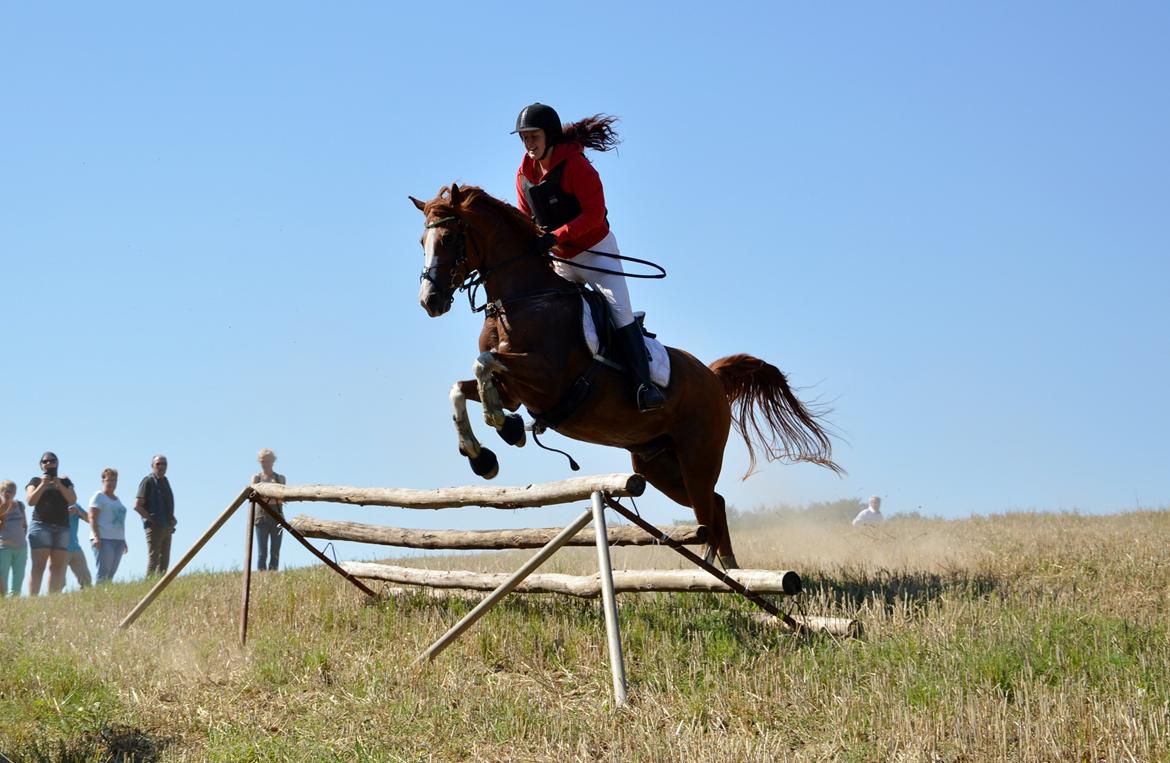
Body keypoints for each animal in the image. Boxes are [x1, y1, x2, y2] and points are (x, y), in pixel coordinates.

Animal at [411, 183, 842, 566]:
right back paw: (730, 573)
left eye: (448, 239)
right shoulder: (515, 389)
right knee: (714, 508)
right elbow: (462, 386)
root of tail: (713, 378)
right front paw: (482, 454)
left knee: (708, 510)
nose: (430, 302)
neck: (523, 300)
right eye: (421, 241)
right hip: (657, 466)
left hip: (697, 458)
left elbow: (483, 363)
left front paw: (505, 429)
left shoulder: (546, 379)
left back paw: (724, 576)